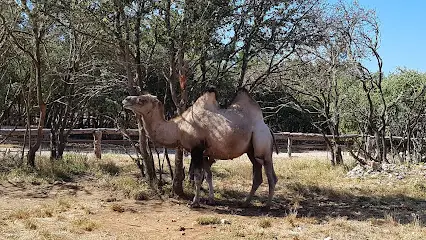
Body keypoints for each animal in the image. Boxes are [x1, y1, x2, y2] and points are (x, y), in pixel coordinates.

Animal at [121, 87, 278, 208]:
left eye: (142, 100)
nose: (126, 99)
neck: (179, 128)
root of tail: (267, 128)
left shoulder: (196, 149)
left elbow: (197, 176)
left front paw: (194, 203)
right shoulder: (203, 153)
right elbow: (207, 176)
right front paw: (211, 200)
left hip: (262, 144)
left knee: (270, 174)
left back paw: (267, 205)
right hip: (251, 151)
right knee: (257, 176)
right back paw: (245, 203)